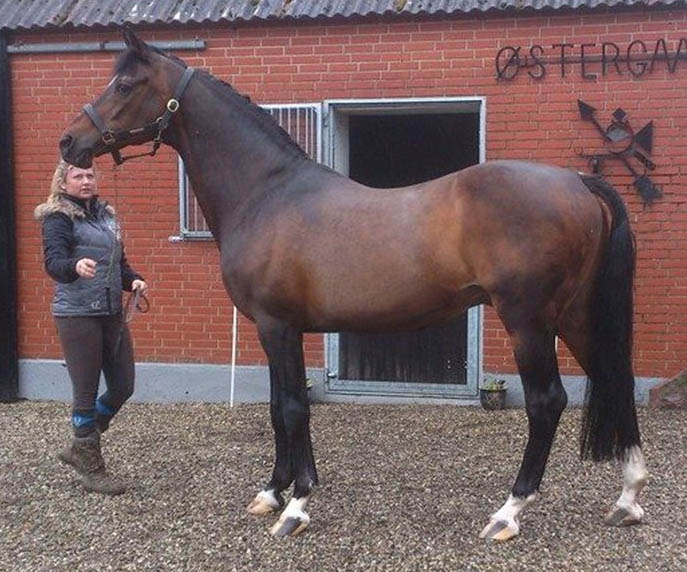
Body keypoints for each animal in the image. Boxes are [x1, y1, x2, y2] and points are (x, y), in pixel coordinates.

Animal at [60, 30, 652, 540]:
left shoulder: (278, 326)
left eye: (125, 85)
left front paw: (296, 506)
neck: (266, 193)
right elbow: (276, 407)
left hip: (529, 321)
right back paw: (627, 498)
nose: (70, 141)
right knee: (614, 378)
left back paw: (508, 512)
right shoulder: (275, 331)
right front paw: (272, 493)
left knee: (547, 402)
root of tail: (578, 181)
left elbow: (293, 408)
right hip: (573, 316)